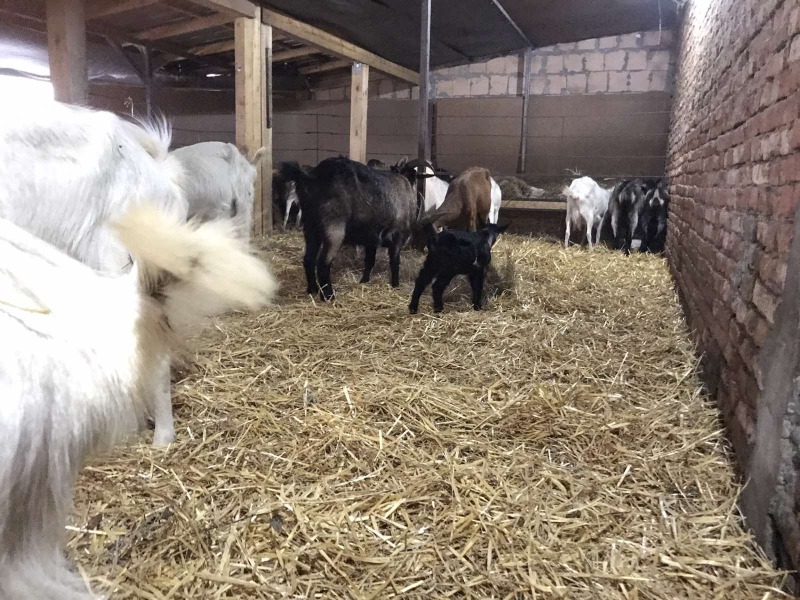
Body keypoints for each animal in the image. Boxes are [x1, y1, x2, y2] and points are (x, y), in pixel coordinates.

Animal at [280, 158, 416, 302]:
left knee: (309, 259)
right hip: (334, 228)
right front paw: (395, 284)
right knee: (323, 263)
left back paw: (312, 290)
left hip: (311, 227)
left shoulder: (372, 238)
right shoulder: (398, 235)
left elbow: (370, 261)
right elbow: (395, 262)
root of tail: (311, 178)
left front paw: (364, 281)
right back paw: (328, 296)